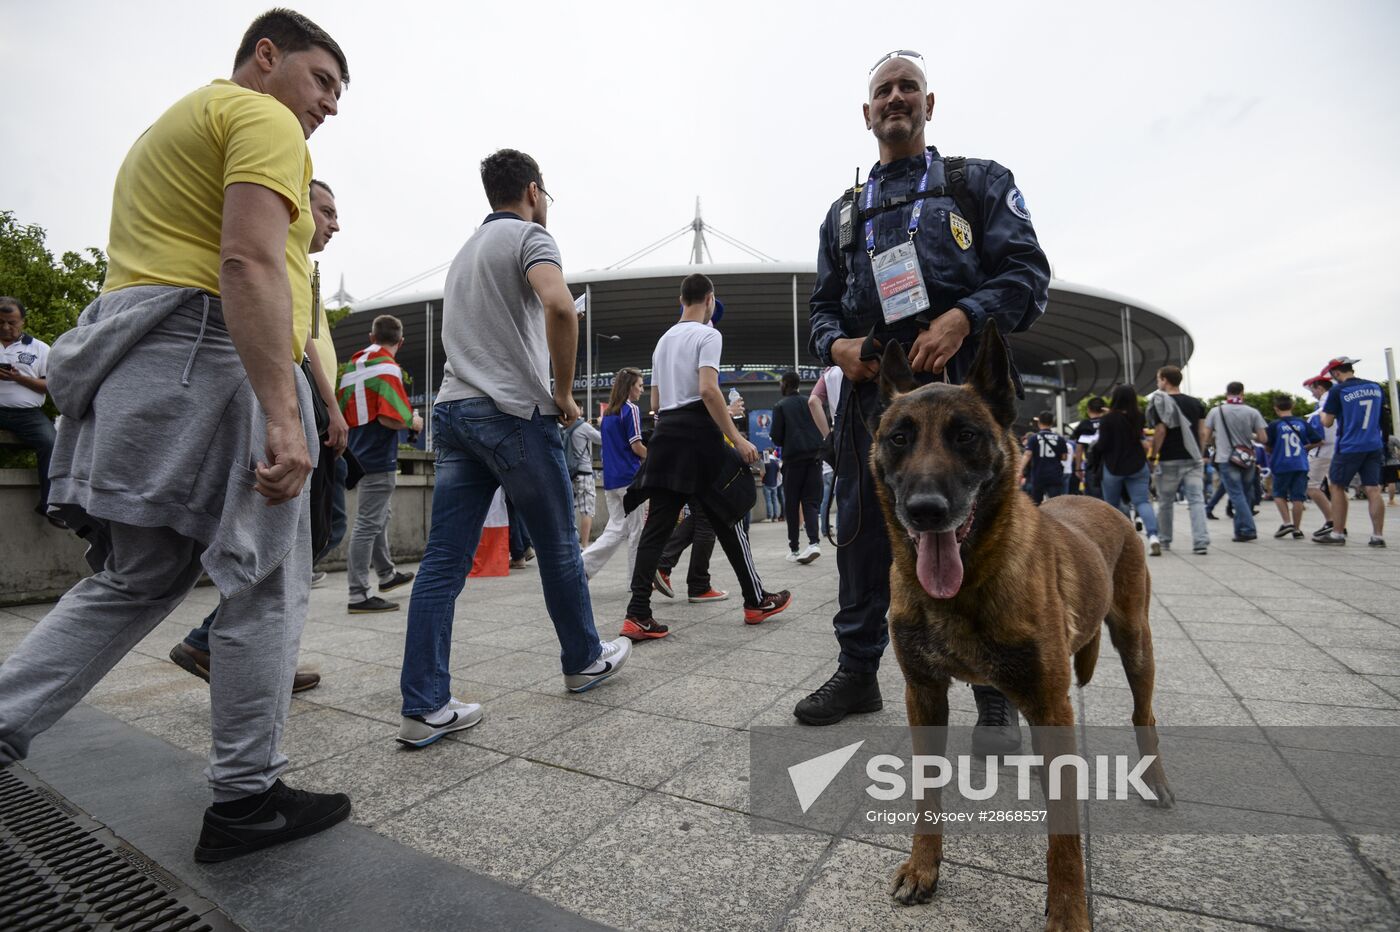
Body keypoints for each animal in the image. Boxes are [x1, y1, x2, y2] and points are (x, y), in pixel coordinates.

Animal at [873, 323, 1170, 923]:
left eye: (965, 435)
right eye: (899, 438)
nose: (926, 511)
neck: (965, 589)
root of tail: (1097, 499)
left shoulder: (1050, 701)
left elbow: (1064, 837)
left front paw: (1070, 913)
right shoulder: (925, 696)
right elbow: (926, 791)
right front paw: (923, 868)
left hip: (1135, 643)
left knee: (1143, 712)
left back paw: (1154, 778)